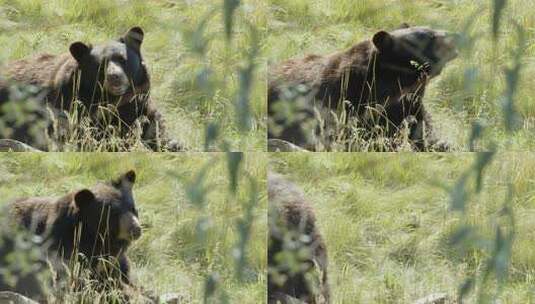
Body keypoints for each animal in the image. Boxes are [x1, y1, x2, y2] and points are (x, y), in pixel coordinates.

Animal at [0, 27, 182, 152]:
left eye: (122, 59)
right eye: (100, 65)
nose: (114, 77)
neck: (112, 99)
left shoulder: (140, 102)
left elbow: (153, 125)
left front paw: (173, 144)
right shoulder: (72, 105)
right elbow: (91, 136)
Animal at [3, 171, 144, 302]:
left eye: (133, 209)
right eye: (113, 214)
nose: (136, 229)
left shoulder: (113, 258)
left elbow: (121, 273)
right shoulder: (63, 248)